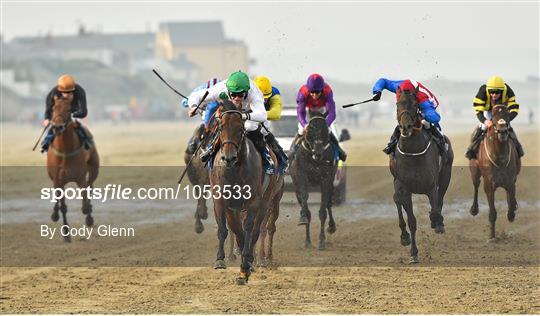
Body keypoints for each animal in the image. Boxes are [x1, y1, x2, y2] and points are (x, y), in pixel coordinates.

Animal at [47, 96, 99, 242]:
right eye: (53, 108)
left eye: (69, 109)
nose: (57, 126)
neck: (65, 151)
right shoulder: (58, 180)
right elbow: (63, 206)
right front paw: (66, 234)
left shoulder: (81, 178)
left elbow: (85, 205)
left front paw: (89, 216)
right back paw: (55, 213)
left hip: (93, 170)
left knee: (90, 187)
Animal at [210, 100, 284, 282]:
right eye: (220, 128)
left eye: (240, 129)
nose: (228, 158)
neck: (234, 171)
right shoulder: (222, 201)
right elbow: (227, 229)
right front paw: (220, 259)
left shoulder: (253, 201)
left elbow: (250, 228)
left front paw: (247, 262)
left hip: (269, 199)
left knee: (262, 228)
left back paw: (260, 258)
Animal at [288, 112, 336, 251]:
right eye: (310, 130)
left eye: (325, 131)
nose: (319, 153)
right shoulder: (301, 177)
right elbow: (305, 204)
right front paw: (303, 218)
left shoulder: (326, 179)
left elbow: (323, 211)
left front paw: (322, 241)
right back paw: (308, 241)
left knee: (329, 204)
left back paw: (331, 227)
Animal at [390, 86, 454, 262]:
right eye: (398, 104)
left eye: (415, 104)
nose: (405, 127)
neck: (413, 153)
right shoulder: (404, 189)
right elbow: (412, 220)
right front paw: (413, 253)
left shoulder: (431, 187)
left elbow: (435, 209)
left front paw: (437, 223)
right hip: (397, 182)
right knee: (396, 200)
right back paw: (404, 236)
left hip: (445, 175)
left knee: (440, 198)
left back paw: (438, 223)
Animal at [468, 105, 520, 241]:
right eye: (494, 117)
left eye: (507, 115)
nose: (502, 131)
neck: (499, 157)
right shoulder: (489, 185)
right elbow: (492, 213)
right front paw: (492, 237)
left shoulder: (510, 181)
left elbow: (511, 203)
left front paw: (512, 212)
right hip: (474, 171)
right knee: (476, 185)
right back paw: (474, 209)